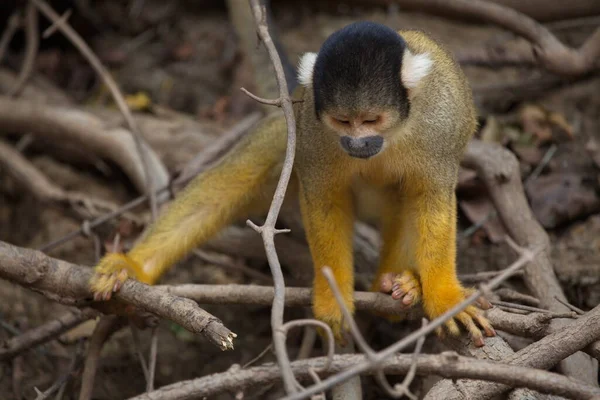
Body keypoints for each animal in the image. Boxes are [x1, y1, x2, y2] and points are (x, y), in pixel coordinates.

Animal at [91, 21, 496, 346]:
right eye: (343, 122)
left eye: (371, 120)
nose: (356, 144)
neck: (393, 133)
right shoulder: (313, 130)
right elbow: (324, 201)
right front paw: (333, 298)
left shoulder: (438, 129)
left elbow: (432, 200)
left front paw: (445, 298)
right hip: (292, 132)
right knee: (240, 174)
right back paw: (134, 266)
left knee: (406, 197)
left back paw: (400, 287)